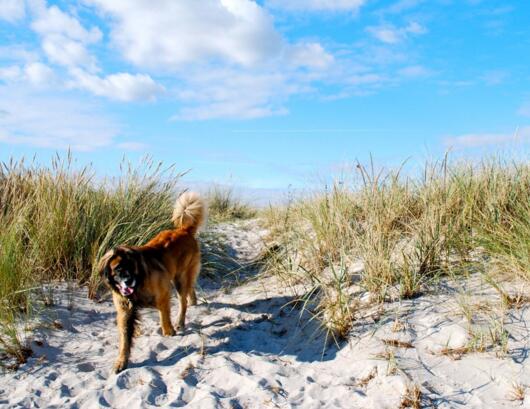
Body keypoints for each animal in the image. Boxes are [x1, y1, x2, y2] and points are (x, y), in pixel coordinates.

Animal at [98, 191, 205, 373]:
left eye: (132, 267)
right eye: (118, 269)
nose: (128, 281)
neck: (139, 283)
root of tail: (184, 230)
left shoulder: (163, 294)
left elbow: (164, 316)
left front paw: (169, 331)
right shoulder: (125, 310)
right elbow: (124, 339)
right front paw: (121, 362)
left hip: (180, 278)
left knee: (183, 301)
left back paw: (180, 321)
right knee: (190, 290)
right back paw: (194, 301)